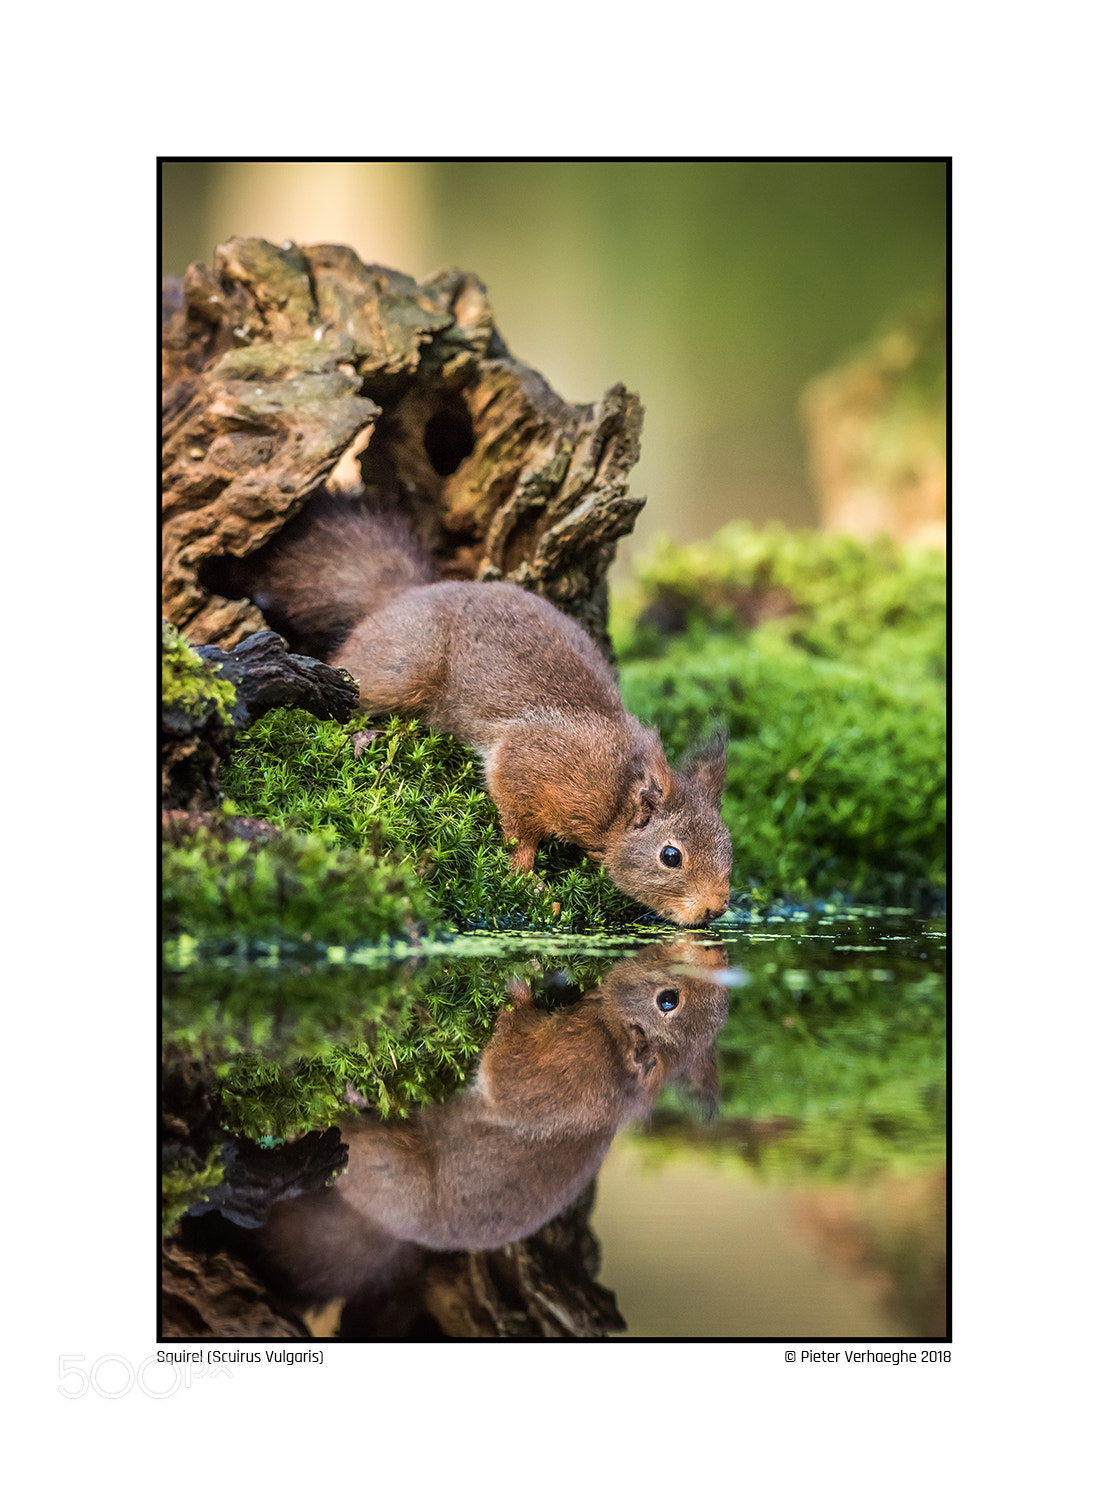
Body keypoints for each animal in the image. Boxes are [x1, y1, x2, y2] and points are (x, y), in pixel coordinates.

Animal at [240, 497, 733, 925]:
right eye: (671, 856)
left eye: (729, 846)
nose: (715, 909)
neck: (616, 797)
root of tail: (404, 598)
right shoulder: (534, 761)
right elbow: (519, 824)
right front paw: (526, 876)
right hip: (402, 670)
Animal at [246, 942, 731, 1307]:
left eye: (667, 1001)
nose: (716, 950)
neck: (613, 1038)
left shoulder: (566, 1066)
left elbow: (506, 1068)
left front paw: (519, 987)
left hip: (386, 1164)